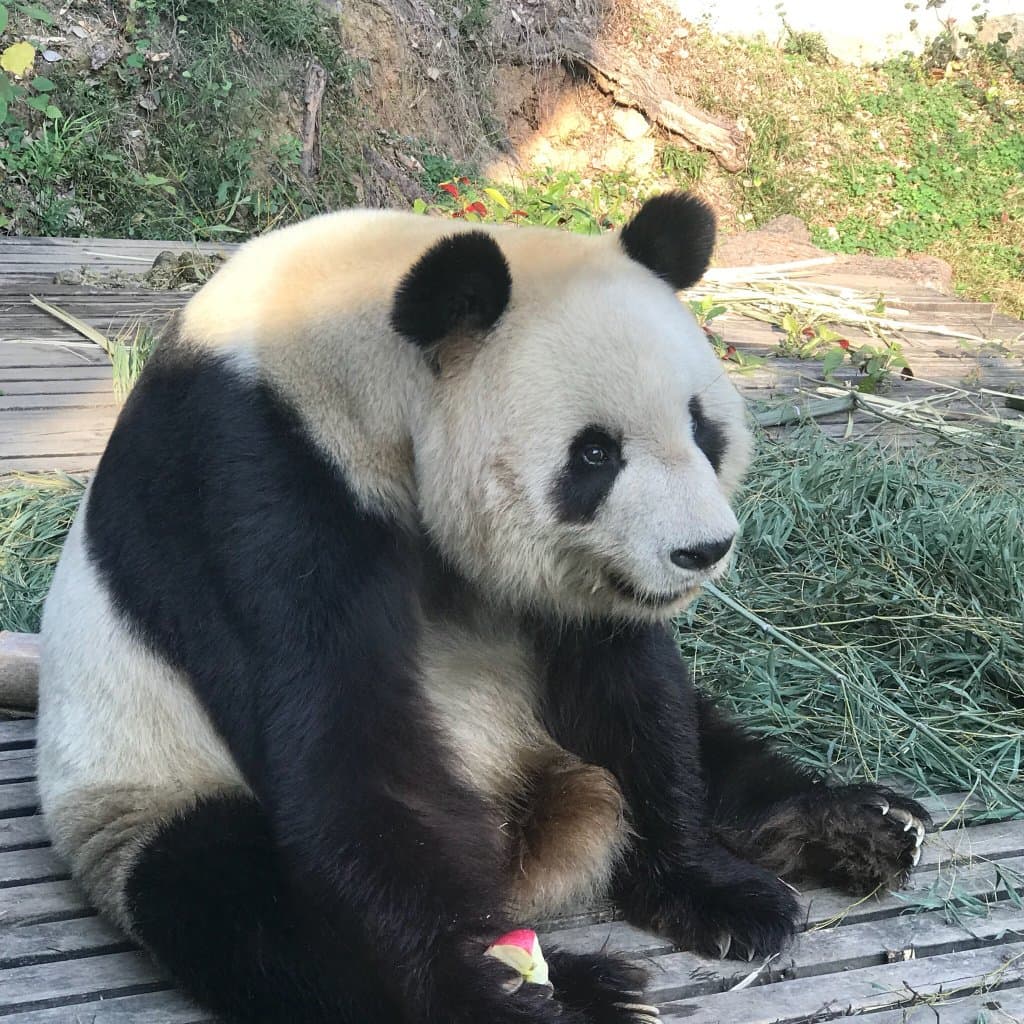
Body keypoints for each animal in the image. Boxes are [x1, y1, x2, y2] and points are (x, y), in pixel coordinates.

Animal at [36, 192, 930, 1024]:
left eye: (701, 426)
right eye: (595, 453)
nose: (702, 550)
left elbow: (630, 691)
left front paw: (717, 891)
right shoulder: (252, 480)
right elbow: (347, 741)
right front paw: (494, 986)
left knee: (717, 741)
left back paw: (856, 825)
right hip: (139, 787)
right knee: (238, 902)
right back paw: (581, 987)